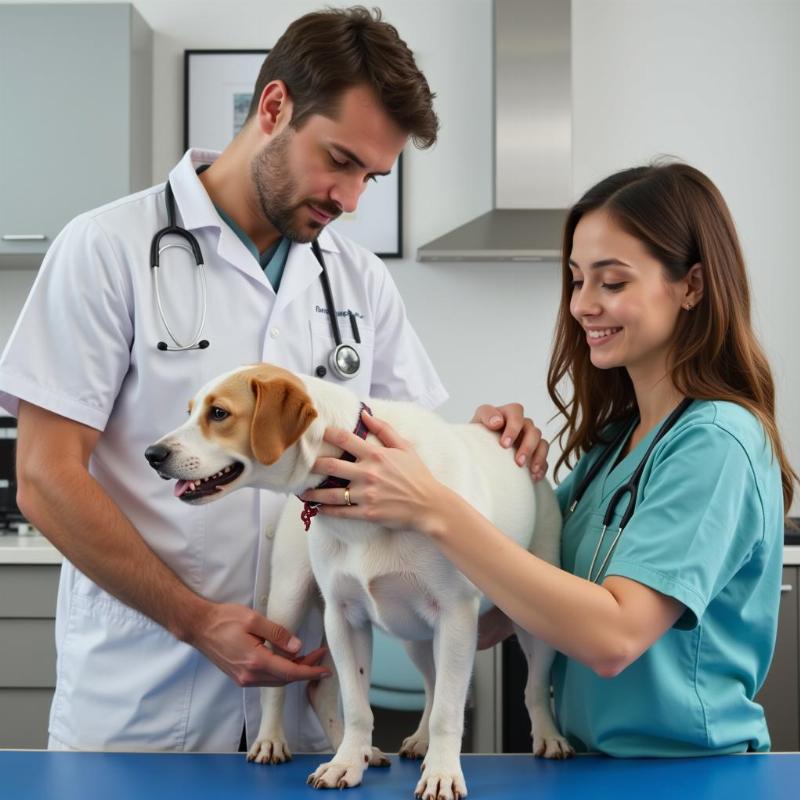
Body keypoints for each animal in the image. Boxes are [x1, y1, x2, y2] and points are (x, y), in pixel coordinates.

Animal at [148, 366, 576, 796]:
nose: (153, 454)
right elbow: (356, 706)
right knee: (288, 684)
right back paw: (276, 740)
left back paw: (545, 737)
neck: (354, 469)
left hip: (518, 621)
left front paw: (441, 773)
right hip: (293, 603)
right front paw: (347, 762)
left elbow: (447, 709)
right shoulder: (344, 617)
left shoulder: (455, 616)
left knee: (521, 687)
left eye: (218, 413)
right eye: (189, 411)